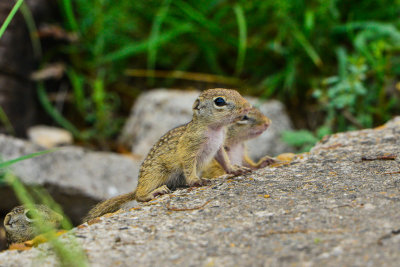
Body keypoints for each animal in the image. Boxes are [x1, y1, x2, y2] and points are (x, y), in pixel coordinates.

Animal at [84, 89, 250, 223]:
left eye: (236, 92)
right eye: (219, 101)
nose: (248, 106)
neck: (215, 129)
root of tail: (138, 185)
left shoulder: (219, 147)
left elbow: (224, 160)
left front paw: (235, 169)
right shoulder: (189, 148)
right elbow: (188, 165)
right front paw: (196, 180)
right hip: (156, 173)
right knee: (139, 196)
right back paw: (153, 192)